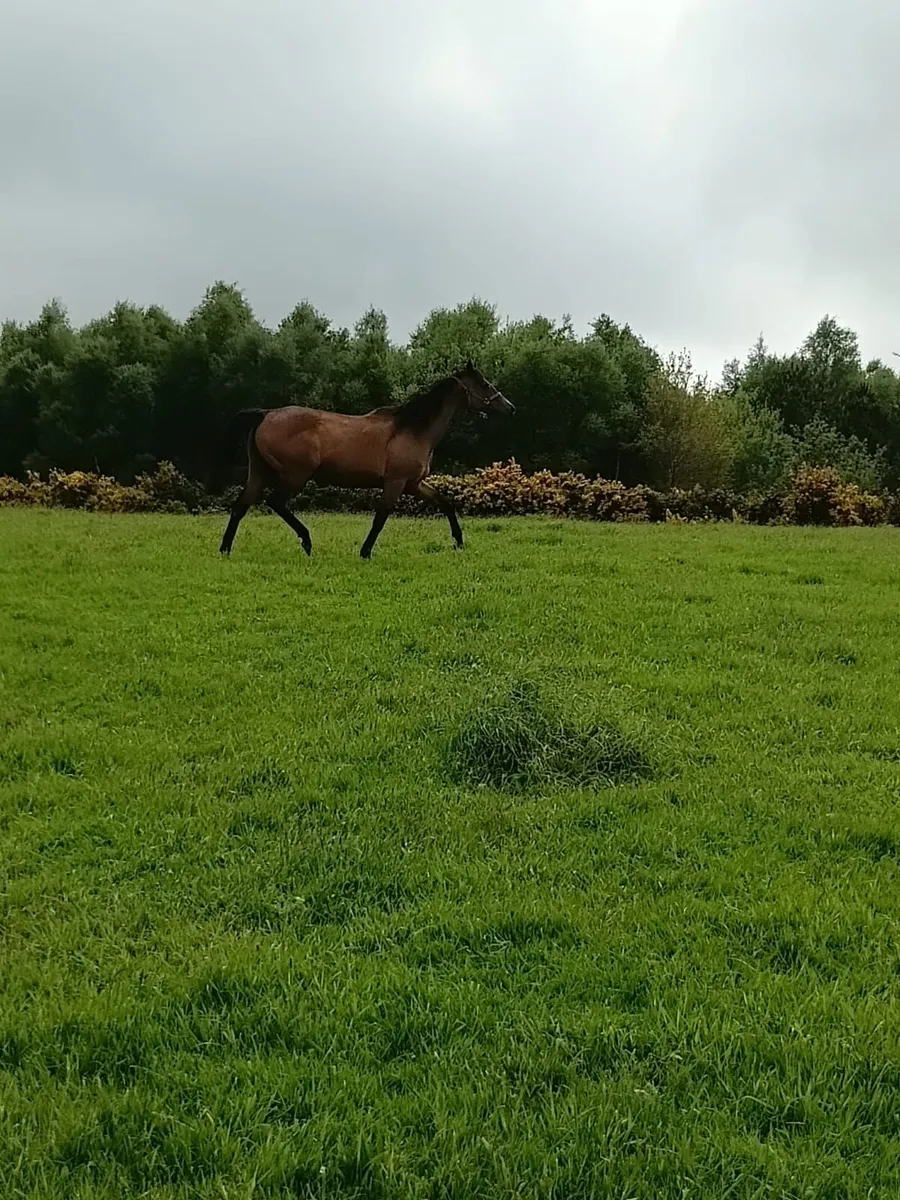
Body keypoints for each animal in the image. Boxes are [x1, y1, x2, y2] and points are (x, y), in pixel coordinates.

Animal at [210, 362, 515, 559]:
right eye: (485, 383)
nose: (510, 407)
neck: (411, 428)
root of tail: (266, 414)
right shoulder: (395, 483)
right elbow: (380, 519)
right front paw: (365, 552)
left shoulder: (414, 483)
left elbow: (446, 503)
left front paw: (459, 543)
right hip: (295, 476)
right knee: (275, 502)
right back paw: (307, 542)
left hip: (259, 473)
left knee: (240, 507)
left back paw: (225, 549)